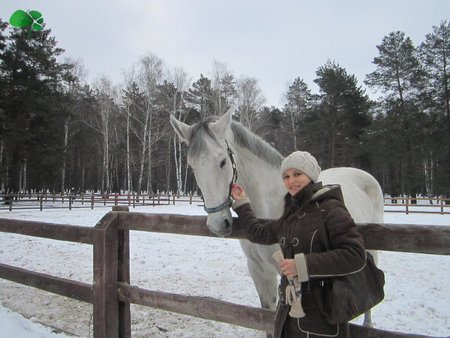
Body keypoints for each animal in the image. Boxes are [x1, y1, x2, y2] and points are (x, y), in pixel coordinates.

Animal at [170, 109, 384, 328]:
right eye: (192, 166)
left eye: (222, 161)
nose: (218, 224)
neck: (272, 207)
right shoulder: (259, 271)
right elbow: (266, 318)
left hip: (372, 249)